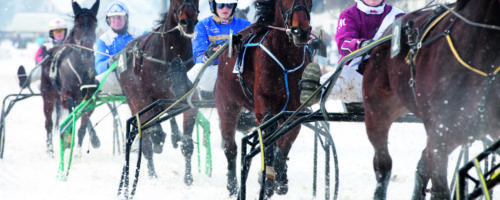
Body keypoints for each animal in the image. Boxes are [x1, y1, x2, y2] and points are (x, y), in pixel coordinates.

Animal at [40, 0, 99, 155]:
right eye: (78, 25)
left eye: (95, 24)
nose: (87, 50)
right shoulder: (66, 97)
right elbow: (70, 120)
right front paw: (67, 141)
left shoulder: (90, 101)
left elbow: (82, 127)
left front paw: (78, 153)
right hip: (47, 96)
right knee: (48, 124)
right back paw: (50, 150)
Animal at [118, 0, 200, 185]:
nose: (188, 21)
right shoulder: (144, 98)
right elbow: (151, 132)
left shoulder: (189, 99)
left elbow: (187, 141)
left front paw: (188, 178)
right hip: (132, 99)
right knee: (148, 139)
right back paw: (152, 173)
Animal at [215, 0, 312, 197]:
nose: (301, 31)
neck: (286, 57)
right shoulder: (264, 105)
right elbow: (268, 135)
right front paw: (267, 179)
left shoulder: (295, 108)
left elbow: (285, 140)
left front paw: (280, 176)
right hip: (227, 104)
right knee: (230, 147)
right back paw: (232, 184)